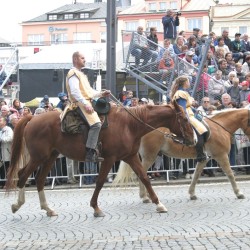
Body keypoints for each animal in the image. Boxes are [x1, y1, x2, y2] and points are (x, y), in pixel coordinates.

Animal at [5, 100, 193, 216]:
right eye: (184, 118)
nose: (193, 139)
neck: (129, 125)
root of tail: (32, 118)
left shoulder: (131, 156)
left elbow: (144, 177)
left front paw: (158, 203)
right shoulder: (109, 158)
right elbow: (100, 181)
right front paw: (95, 207)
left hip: (50, 157)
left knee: (39, 179)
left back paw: (48, 209)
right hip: (38, 157)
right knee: (23, 175)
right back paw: (16, 204)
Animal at [114, 109, 250, 203]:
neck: (220, 127)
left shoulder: (204, 159)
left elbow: (196, 175)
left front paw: (192, 194)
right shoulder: (221, 156)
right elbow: (230, 174)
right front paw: (238, 193)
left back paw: (146, 196)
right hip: (149, 156)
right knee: (141, 174)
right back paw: (145, 197)